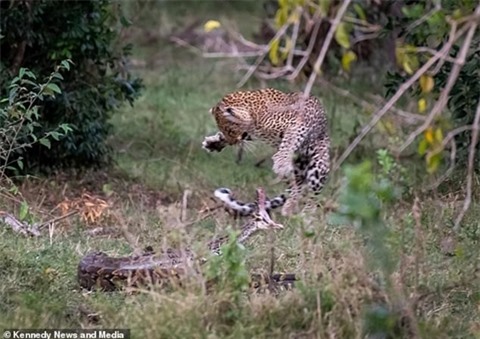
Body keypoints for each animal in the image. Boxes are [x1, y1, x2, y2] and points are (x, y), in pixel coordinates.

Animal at [202, 87, 330, 215]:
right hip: (296, 171)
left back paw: (305, 213)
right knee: (296, 187)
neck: (255, 114)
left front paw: (281, 161)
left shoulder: (299, 124)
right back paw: (289, 207)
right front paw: (213, 143)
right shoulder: (251, 132)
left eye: (230, 130)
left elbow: (290, 138)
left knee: (313, 196)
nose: (232, 142)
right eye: (224, 130)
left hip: (318, 167)